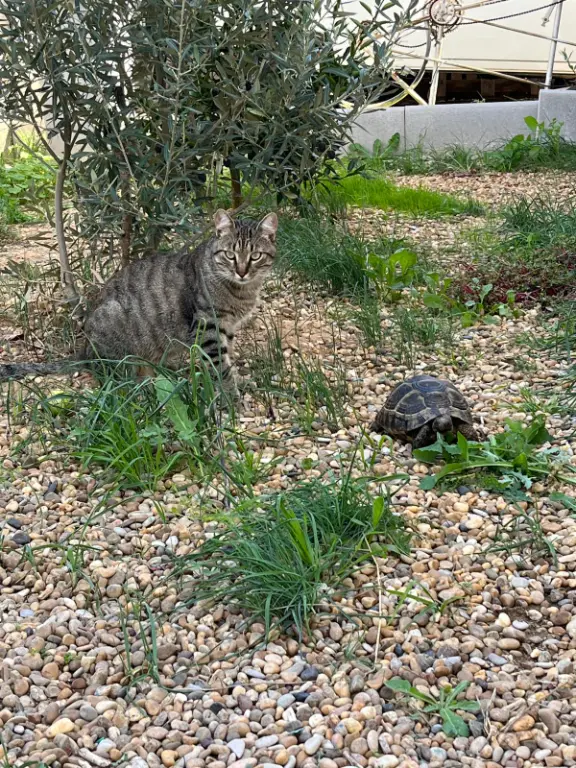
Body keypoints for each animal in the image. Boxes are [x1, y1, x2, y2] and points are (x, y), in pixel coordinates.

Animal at [0, 208, 280, 396]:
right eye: (230, 255)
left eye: (255, 256)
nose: (242, 271)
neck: (242, 290)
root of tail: (83, 351)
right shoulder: (208, 326)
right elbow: (219, 364)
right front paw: (231, 394)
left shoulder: (227, 327)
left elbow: (227, 356)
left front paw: (237, 381)